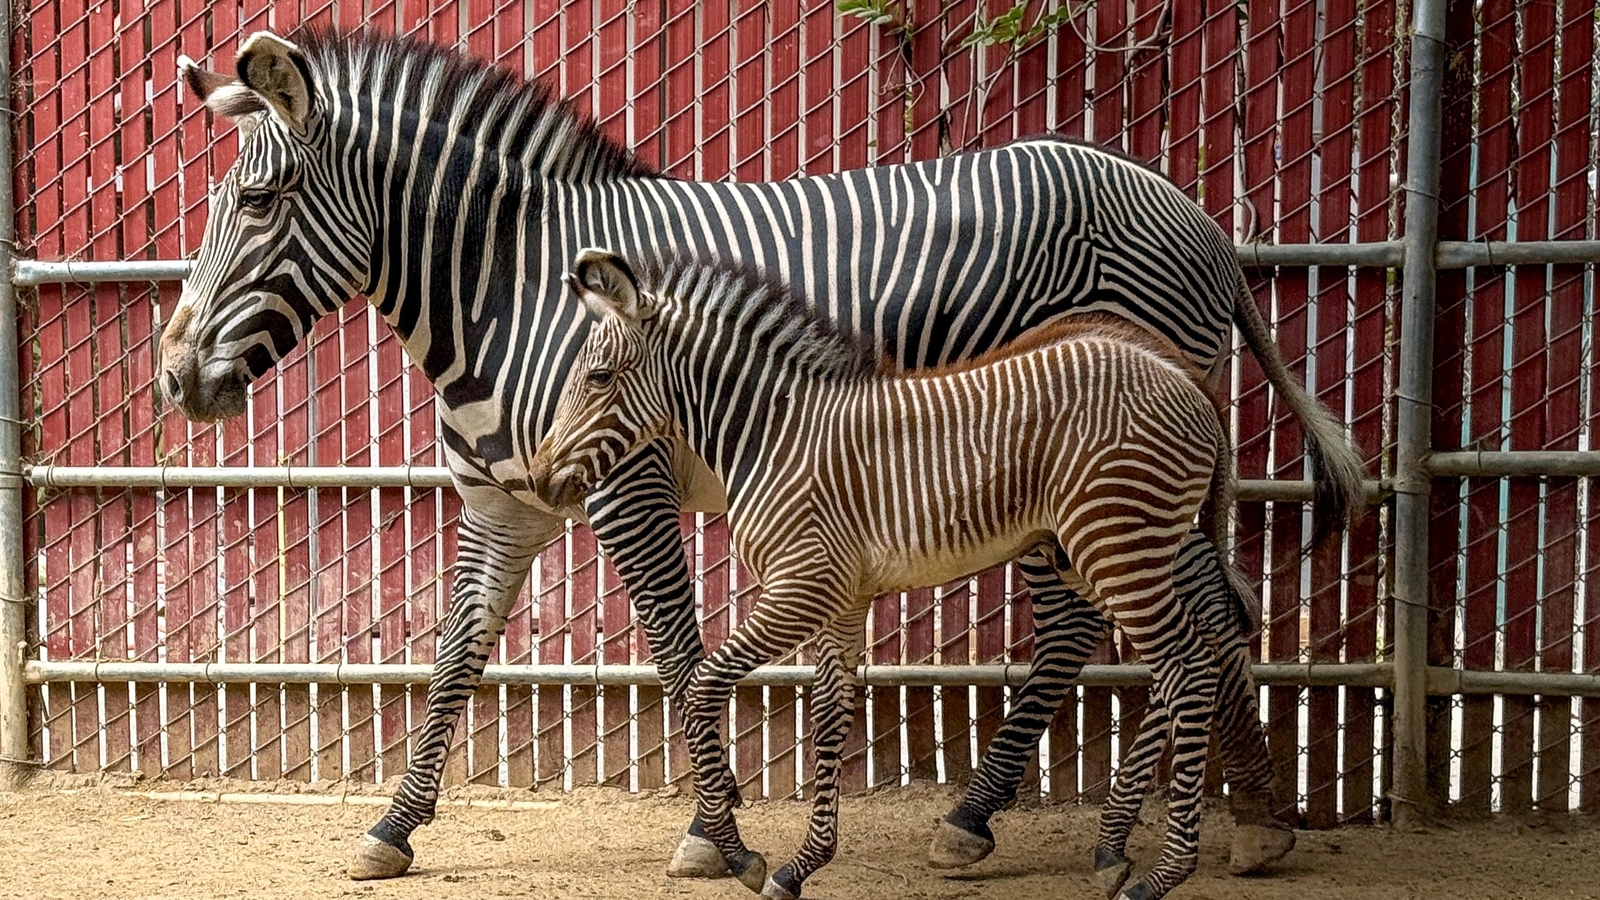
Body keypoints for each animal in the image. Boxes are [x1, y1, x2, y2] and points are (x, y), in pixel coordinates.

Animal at [530, 248, 1237, 900]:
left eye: (597, 377)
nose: (538, 480)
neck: (773, 434)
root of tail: (1186, 376)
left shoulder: (800, 586)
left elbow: (704, 687)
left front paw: (738, 855)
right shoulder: (841, 598)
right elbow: (829, 713)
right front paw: (800, 866)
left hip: (1117, 546)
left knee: (1189, 668)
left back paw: (1164, 873)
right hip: (1124, 550)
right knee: (1187, 660)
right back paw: (1115, 851)